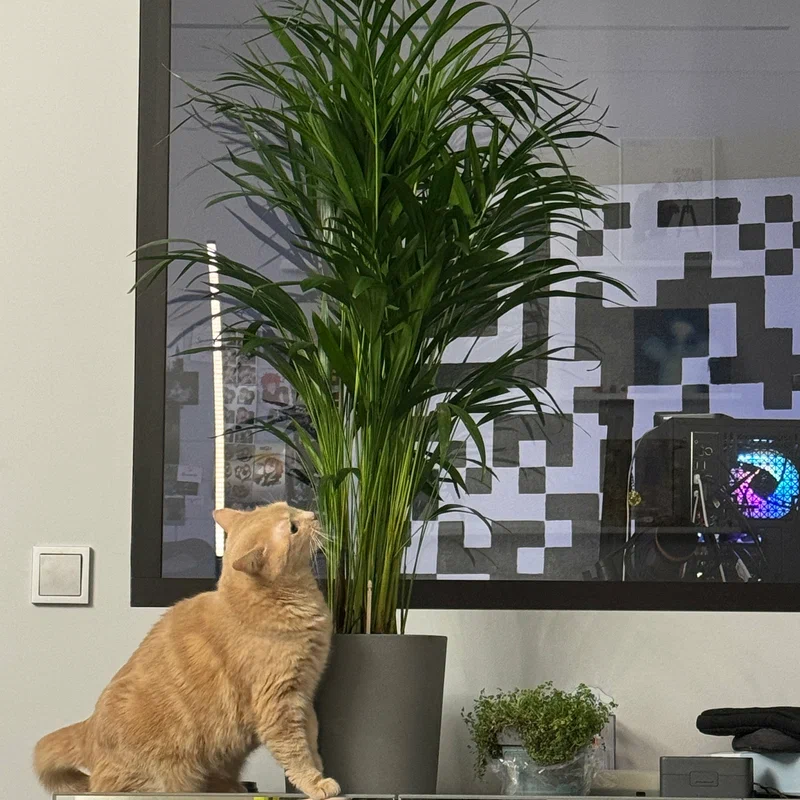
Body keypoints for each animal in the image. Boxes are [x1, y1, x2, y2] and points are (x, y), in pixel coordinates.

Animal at [34, 502, 340, 797]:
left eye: (289, 506)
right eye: (293, 527)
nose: (313, 514)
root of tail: (89, 727)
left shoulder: (304, 697)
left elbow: (312, 744)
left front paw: (320, 772)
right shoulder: (279, 704)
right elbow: (296, 752)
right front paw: (315, 783)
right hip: (165, 773)